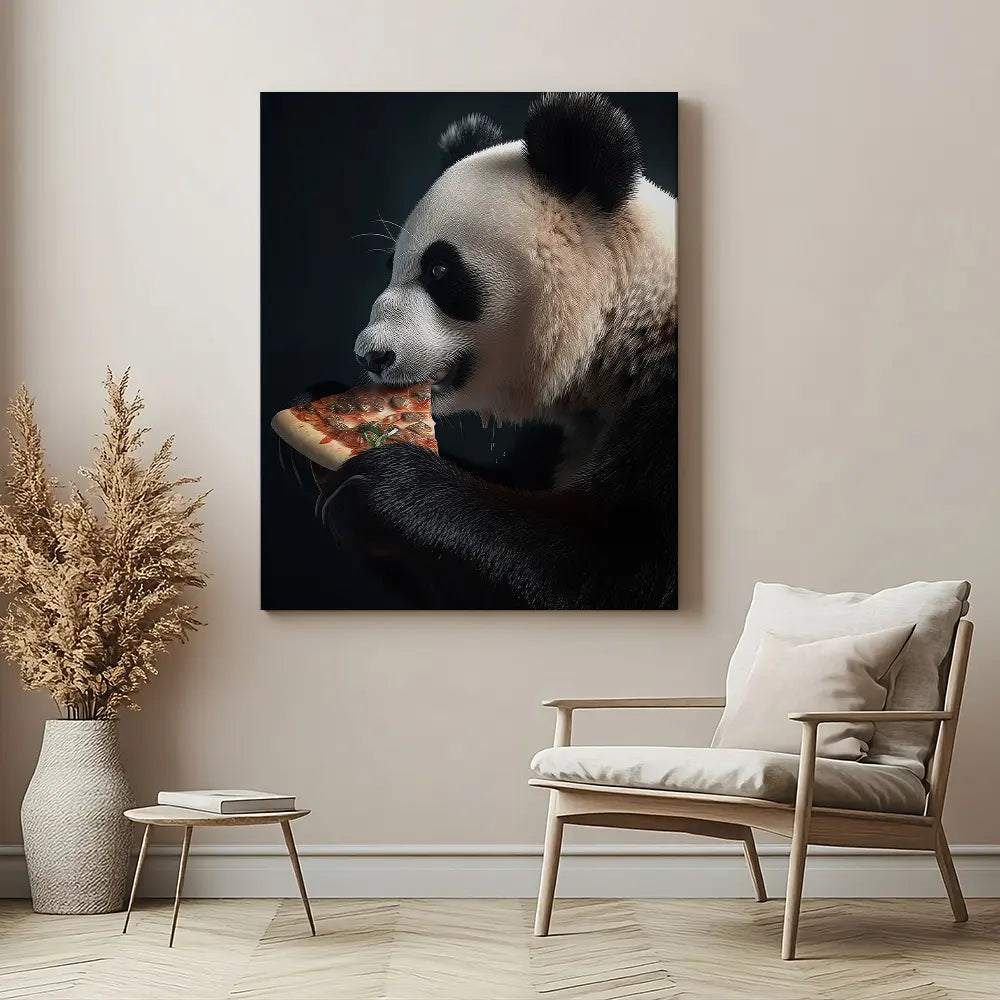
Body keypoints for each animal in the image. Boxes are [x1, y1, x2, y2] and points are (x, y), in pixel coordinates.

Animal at [279, 93, 678, 610]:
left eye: (440, 271)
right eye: (391, 266)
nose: (370, 356)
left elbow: (604, 570)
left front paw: (388, 487)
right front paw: (317, 405)